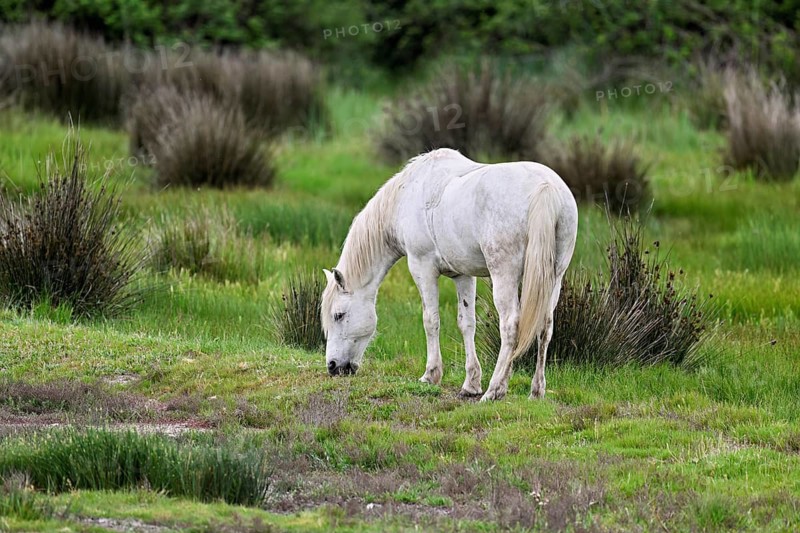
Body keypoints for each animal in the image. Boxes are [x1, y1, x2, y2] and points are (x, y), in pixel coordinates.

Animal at [321, 148, 578, 401]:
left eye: (338, 315)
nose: (332, 366)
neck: (408, 195)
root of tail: (546, 187)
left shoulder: (422, 268)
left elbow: (430, 320)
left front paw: (431, 375)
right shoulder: (463, 275)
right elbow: (467, 323)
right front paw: (471, 384)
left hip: (504, 275)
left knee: (510, 326)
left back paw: (494, 389)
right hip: (554, 277)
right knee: (545, 326)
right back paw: (536, 391)